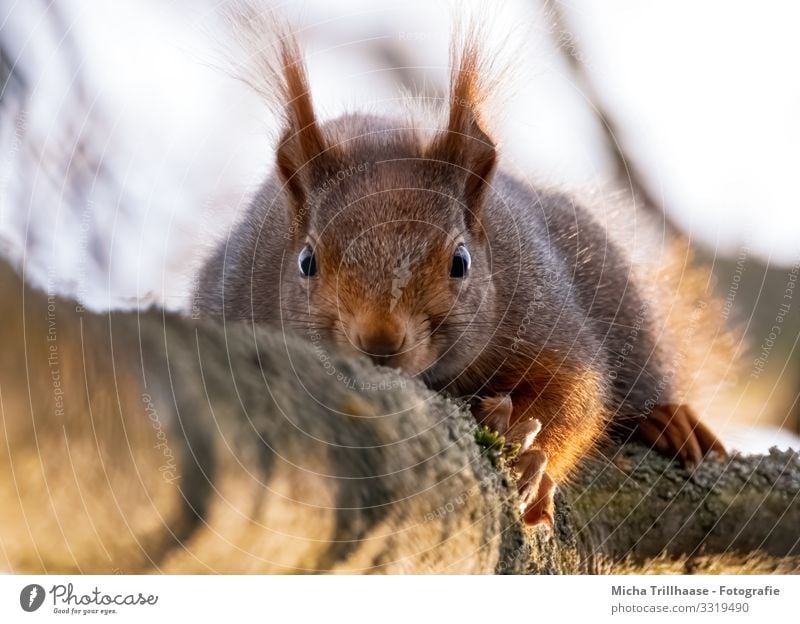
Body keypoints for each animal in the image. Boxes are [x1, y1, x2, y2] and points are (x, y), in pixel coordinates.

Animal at [197, 23, 736, 528]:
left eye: (461, 261)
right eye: (307, 261)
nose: (379, 342)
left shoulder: (541, 305)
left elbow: (574, 394)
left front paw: (529, 462)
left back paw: (668, 420)